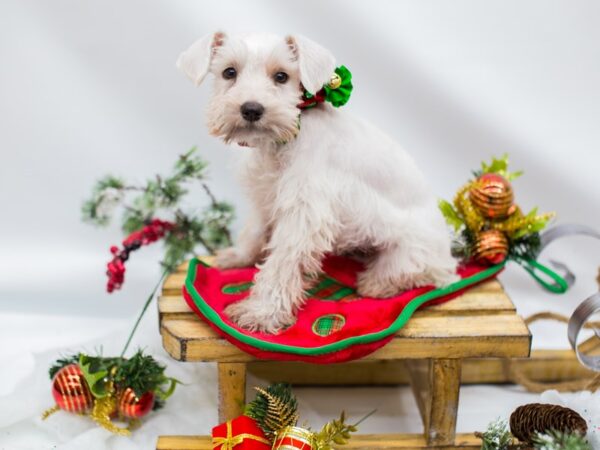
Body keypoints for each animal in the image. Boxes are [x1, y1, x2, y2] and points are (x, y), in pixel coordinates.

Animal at [176, 31, 458, 334]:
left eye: (281, 76)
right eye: (229, 72)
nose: (251, 109)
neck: (282, 140)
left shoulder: (304, 212)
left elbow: (281, 263)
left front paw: (262, 313)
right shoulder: (265, 195)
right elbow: (254, 229)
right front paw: (239, 256)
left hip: (411, 250)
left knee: (421, 271)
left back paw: (379, 283)